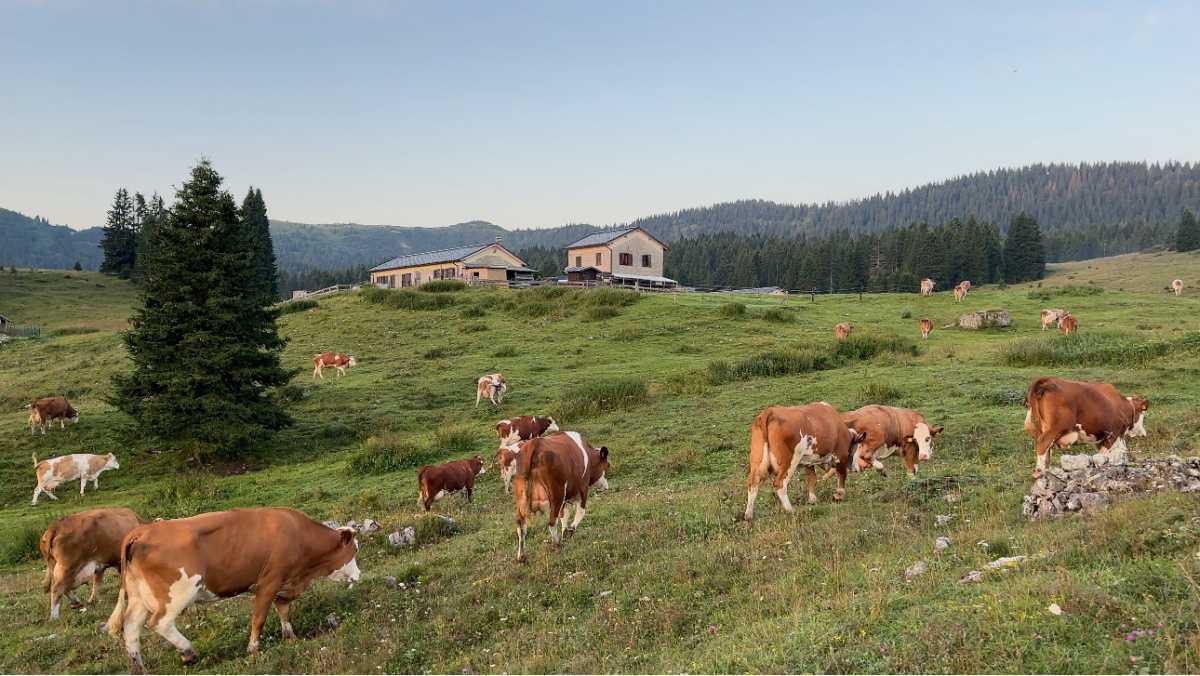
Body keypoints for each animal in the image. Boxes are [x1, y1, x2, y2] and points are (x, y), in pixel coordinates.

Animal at [106, 509, 360, 672]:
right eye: (355, 550)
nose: (359, 575)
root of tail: (142, 531)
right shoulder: (269, 581)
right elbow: (259, 618)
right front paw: (253, 649)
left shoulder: (285, 582)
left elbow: (283, 609)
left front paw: (290, 636)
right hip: (177, 593)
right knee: (160, 622)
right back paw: (188, 652)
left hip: (139, 596)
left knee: (131, 627)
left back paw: (138, 668)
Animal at [513, 432, 609, 564]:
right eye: (607, 466)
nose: (606, 487)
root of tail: (535, 443)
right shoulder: (583, 488)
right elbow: (581, 512)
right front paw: (570, 531)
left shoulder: (566, 498)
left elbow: (564, 515)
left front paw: (565, 532)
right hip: (556, 494)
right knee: (552, 522)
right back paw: (557, 544)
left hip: (522, 498)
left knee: (520, 524)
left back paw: (521, 556)